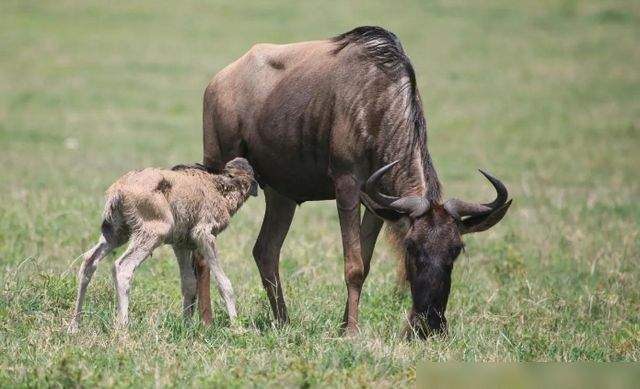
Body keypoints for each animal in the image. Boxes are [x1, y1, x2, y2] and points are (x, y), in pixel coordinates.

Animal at [68, 155, 258, 330]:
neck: (220, 188)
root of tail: (118, 190)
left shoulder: (180, 244)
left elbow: (189, 283)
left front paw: (186, 327)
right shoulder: (203, 235)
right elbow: (224, 284)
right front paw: (237, 328)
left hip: (116, 233)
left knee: (89, 260)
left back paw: (74, 325)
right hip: (152, 233)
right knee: (123, 267)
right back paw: (123, 327)